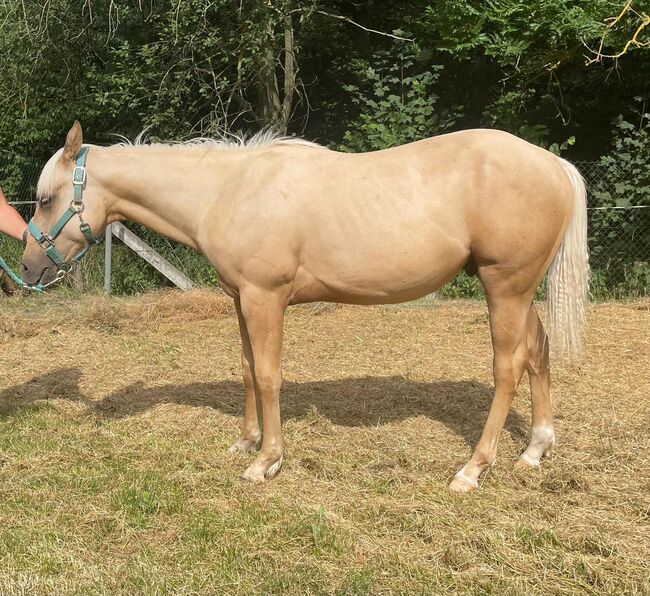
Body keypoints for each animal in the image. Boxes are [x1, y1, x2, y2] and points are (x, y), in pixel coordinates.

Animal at [20, 121, 588, 488]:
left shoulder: (265, 297)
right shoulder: (241, 299)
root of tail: (552, 163)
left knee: (508, 367)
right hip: (518, 291)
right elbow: (248, 368)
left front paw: (266, 461)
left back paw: (473, 469)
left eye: (46, 199)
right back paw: (534, 449)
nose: (26, 270)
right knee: (538, 352)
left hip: (505, 287)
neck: (227, 190)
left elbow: (270, 375)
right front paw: (246, 442)